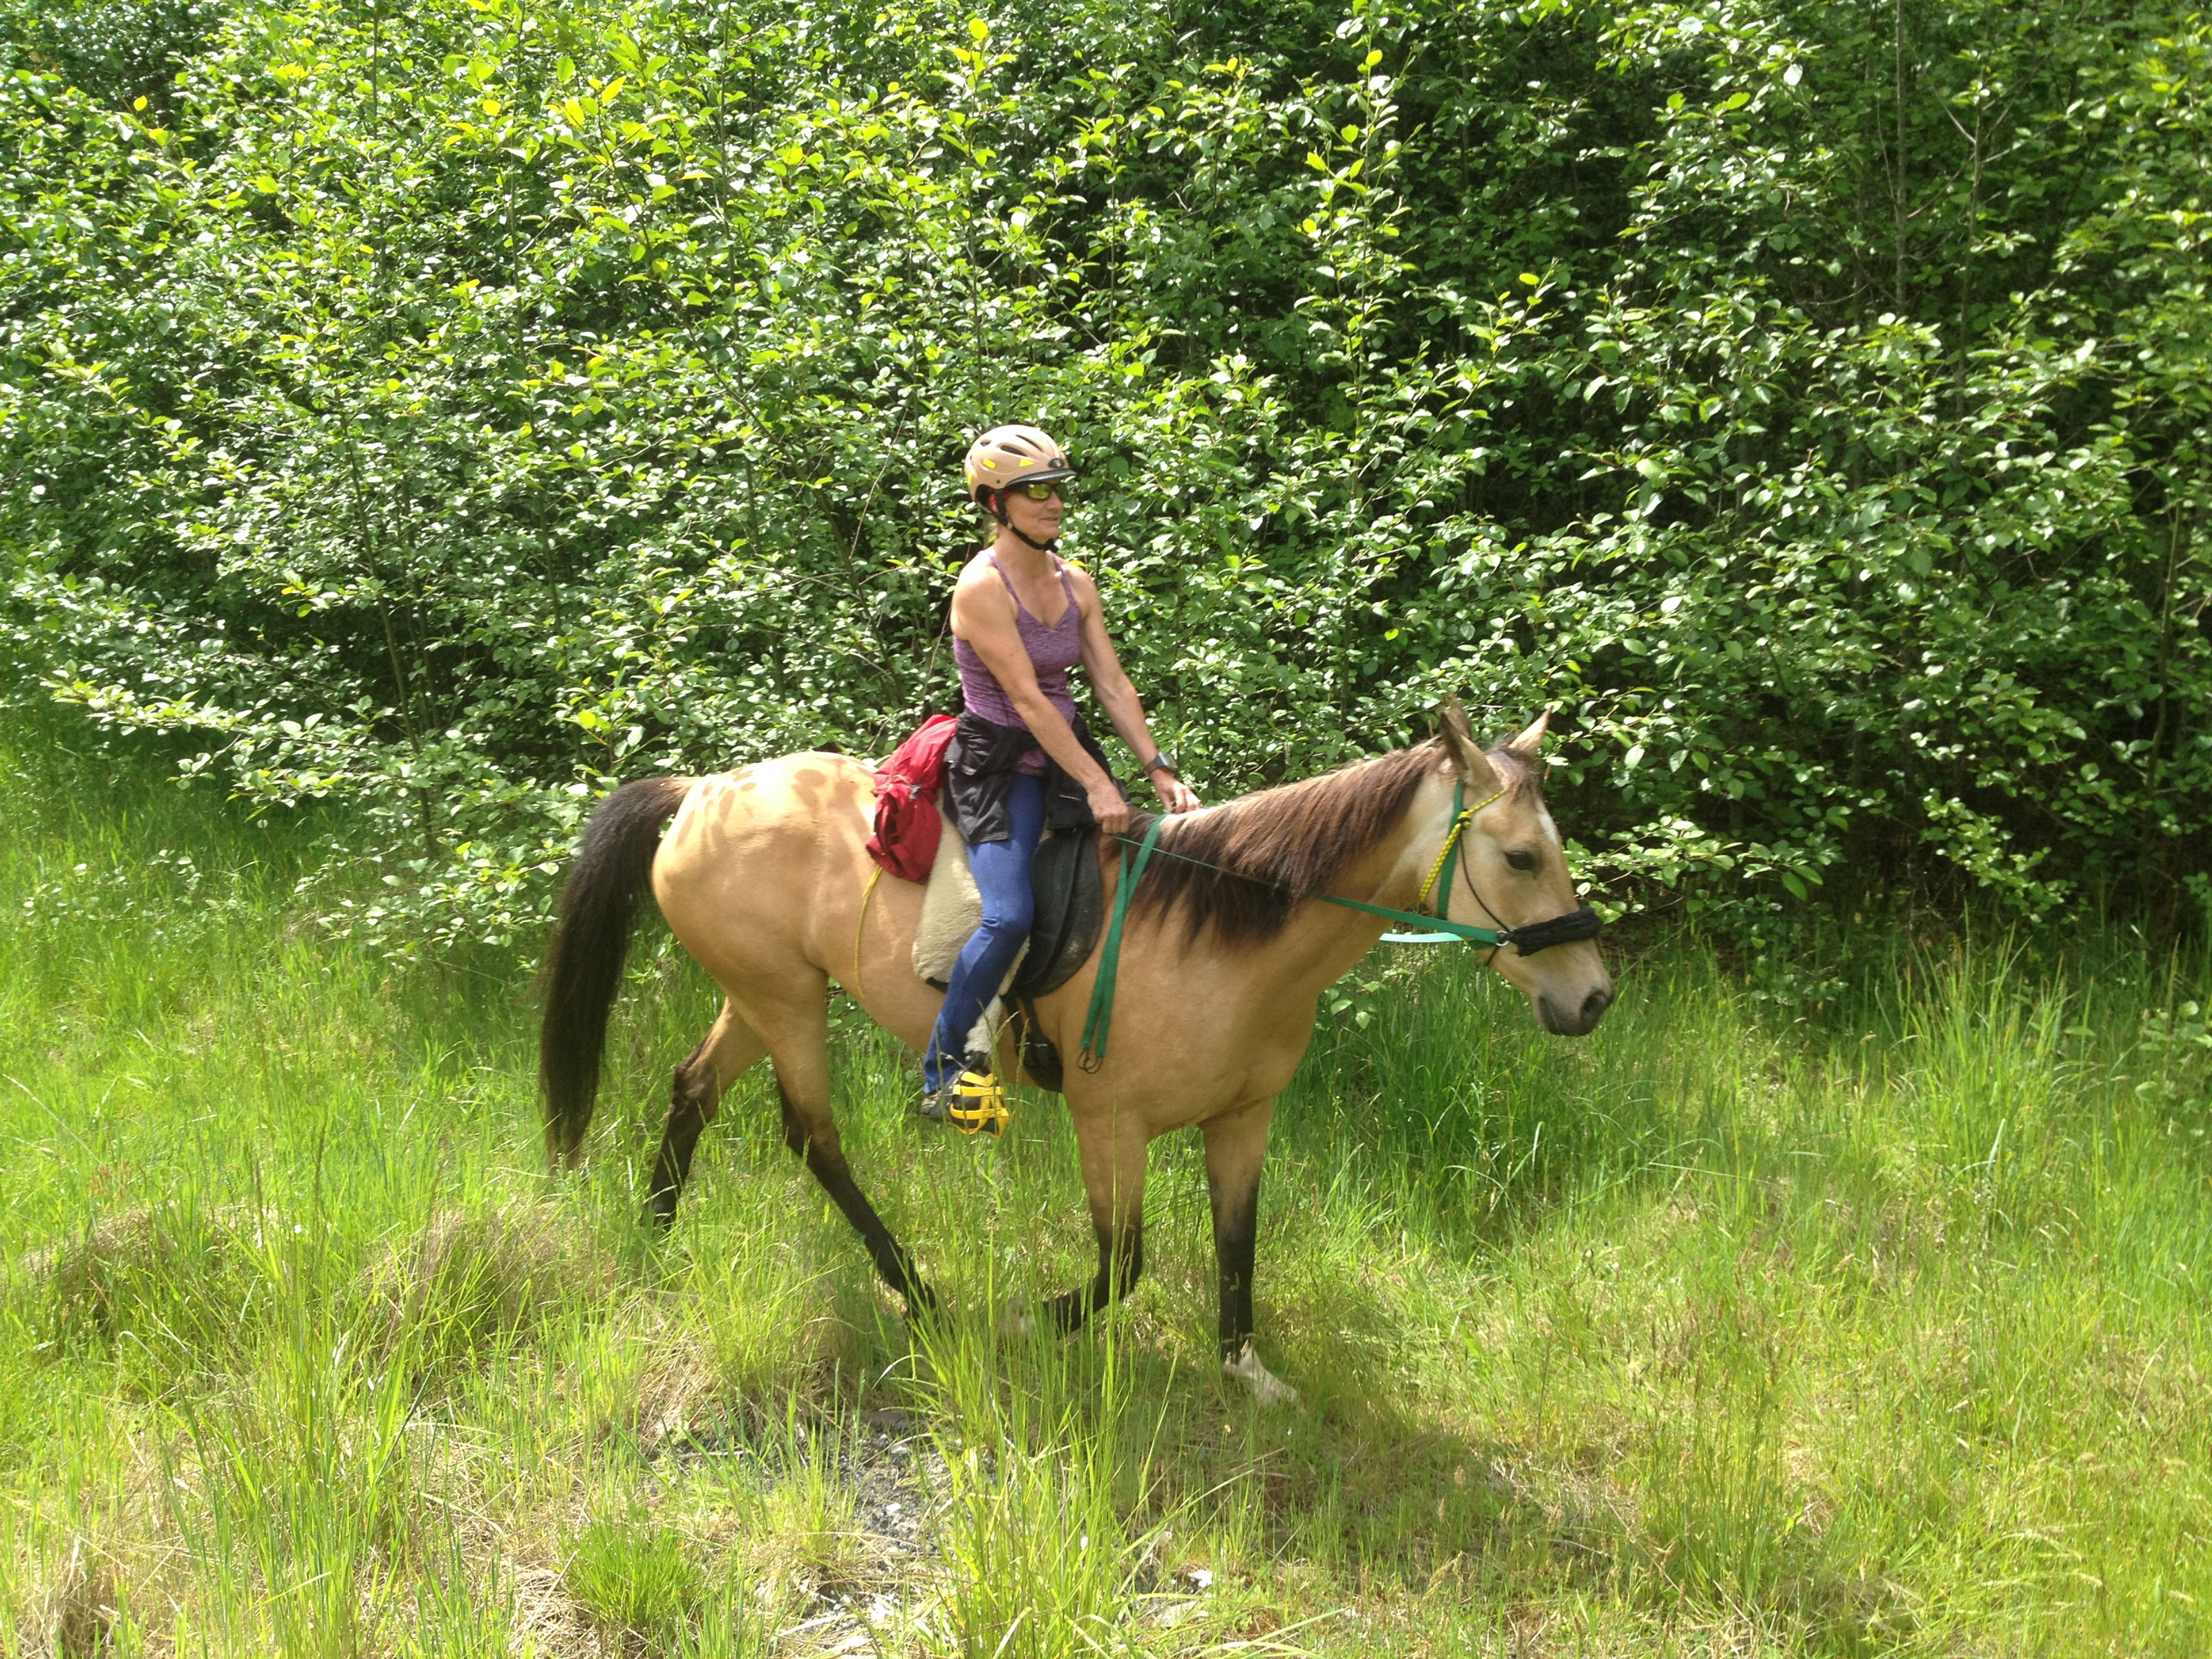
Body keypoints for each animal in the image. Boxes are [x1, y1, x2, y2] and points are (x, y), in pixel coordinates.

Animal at [537, 701, 1613, 1403]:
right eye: (1520, 857)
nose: (1593, 995)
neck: (1224, 935)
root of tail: (700, 791)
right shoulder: (1111, 1122)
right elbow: (1124, 1262)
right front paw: (1025, 1322)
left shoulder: (1242, 1118)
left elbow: (1237, 1242)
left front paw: (1244, 1369)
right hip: (785, 1000)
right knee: (813, 1138)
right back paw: (920, 1295)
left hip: (761, 996)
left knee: (692, 1090)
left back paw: (656, 1235)